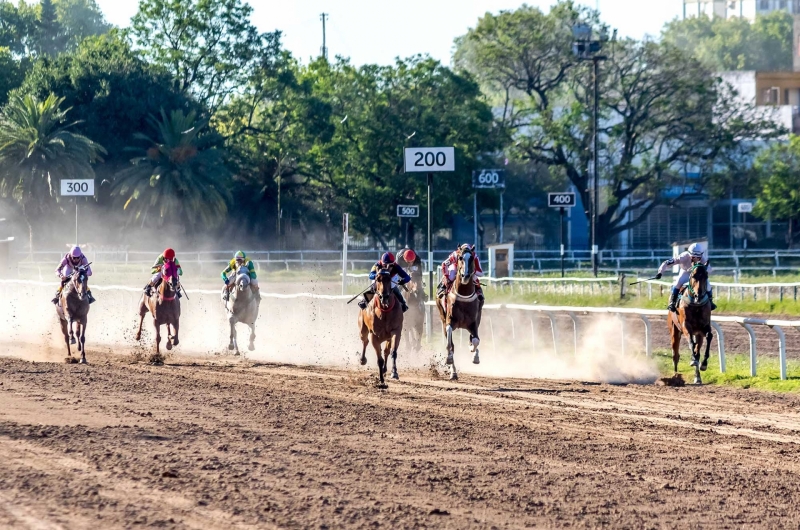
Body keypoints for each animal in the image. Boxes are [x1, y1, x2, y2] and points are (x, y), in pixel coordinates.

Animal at [434, 245, 484, 378]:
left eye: (471, 258)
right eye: (460, 257)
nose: (465, 276)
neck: (464, 295)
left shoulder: (473, 322)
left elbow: (476, 340)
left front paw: (474, 353)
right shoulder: (450, 321)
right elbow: (450, 344)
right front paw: (449, 359)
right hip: (442, 316)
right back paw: (453, 372)